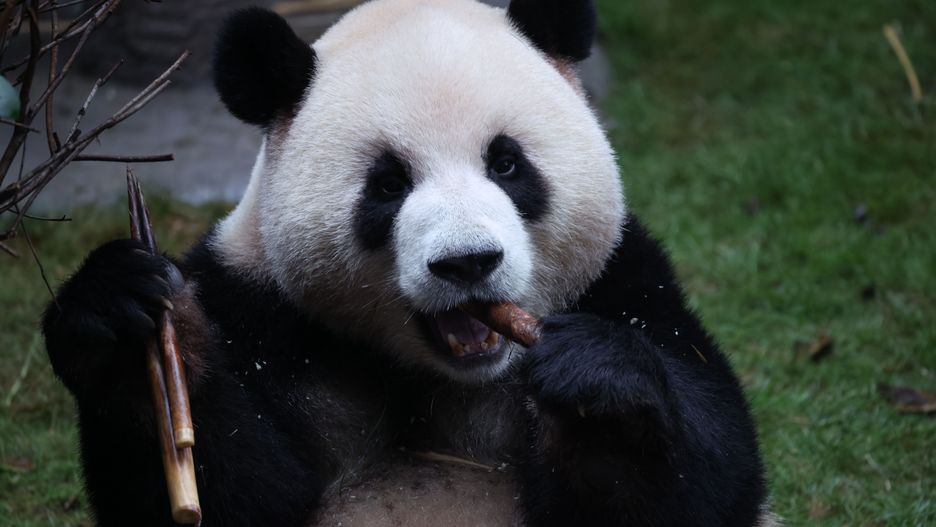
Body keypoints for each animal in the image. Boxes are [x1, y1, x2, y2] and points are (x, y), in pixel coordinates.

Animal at [42, 0, 776, 526]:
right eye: (388, 184)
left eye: (506, 164)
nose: (468, 262)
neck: (443, 373)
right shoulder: (254, 307)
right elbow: (237, 497)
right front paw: (120, 318)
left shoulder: (625, 278)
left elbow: (703, 480)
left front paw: (594, 389)